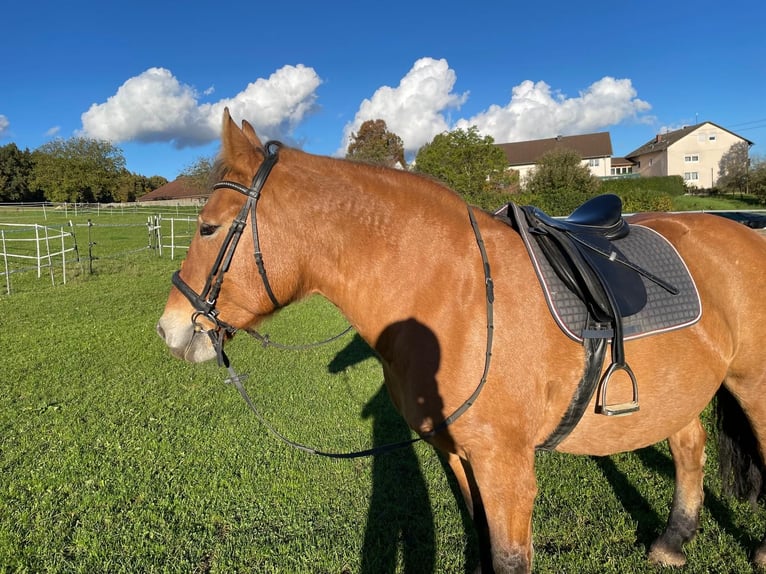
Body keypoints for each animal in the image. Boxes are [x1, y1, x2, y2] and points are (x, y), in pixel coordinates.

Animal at [158, 110, 766, 572]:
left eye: (208, 227)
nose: (170, 329)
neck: (457, 298)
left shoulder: (507, 469)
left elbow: (508, 557)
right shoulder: (457, 456)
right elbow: (480, 541)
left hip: (752, 385)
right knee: (689, 446)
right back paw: (673, 541)